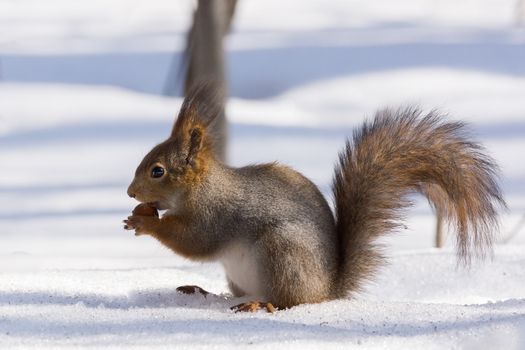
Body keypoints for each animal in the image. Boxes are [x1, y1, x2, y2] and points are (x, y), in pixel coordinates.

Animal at [123, 82, 504, 312]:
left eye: (157, 171)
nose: (130, 192)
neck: (203, 187)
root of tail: (327, 291)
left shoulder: (215, 215)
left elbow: (193, 241)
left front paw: (143, 222)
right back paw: (205, 292)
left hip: (282, 253)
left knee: (289, 302)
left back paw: (260, 306)